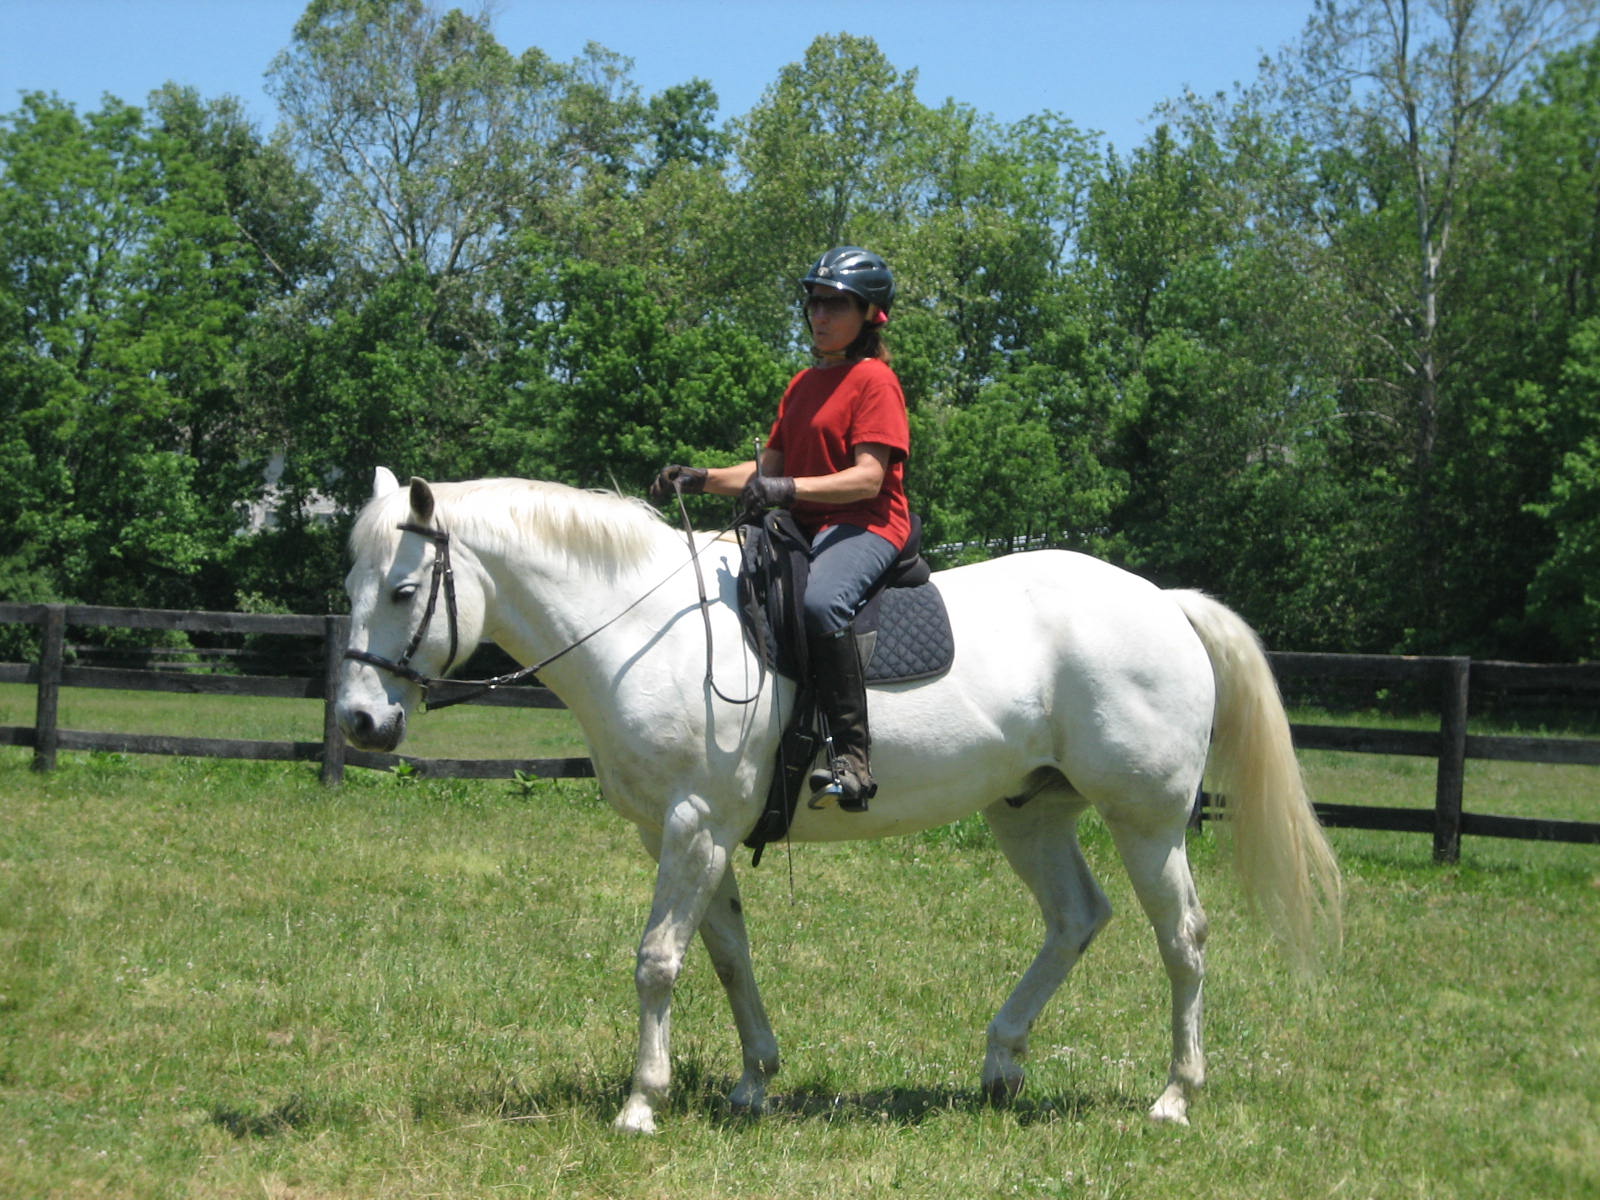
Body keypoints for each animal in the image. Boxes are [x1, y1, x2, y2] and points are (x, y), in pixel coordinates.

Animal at [335, 468, 1341, 1134]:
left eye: (404, 588)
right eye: (351, 586)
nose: (359, 721)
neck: (639, 627)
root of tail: (1164, 604)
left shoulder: (694, 825)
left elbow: (658, 960)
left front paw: (640, 1103)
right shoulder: (692, 833)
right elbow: (727, 956)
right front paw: (753, 1080)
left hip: (1147, 820)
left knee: (1184, 940)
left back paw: (1173, 1095)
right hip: (1030, 812)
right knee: (1074, 919)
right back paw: (1001, 1063)